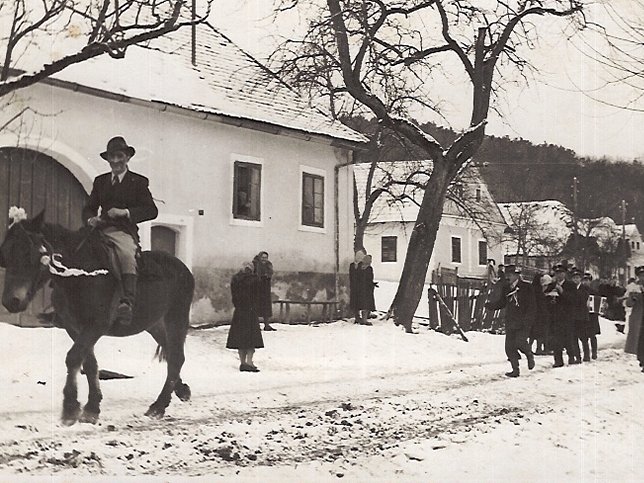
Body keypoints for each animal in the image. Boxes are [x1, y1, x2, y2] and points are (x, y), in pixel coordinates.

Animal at [0, 212, 196, 428]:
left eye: (30, 253)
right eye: (7, 255)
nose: (11, 301)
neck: (81, 275)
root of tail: (182, 267)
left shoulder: (95, 326)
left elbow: (74, 358)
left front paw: (71, 408)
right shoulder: (74, 328)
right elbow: (89, 364)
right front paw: (92, 408)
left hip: (175, 318)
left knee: (176, 357)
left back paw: (159, 406)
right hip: (155, 324)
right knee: (171, 354)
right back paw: (181, 390)